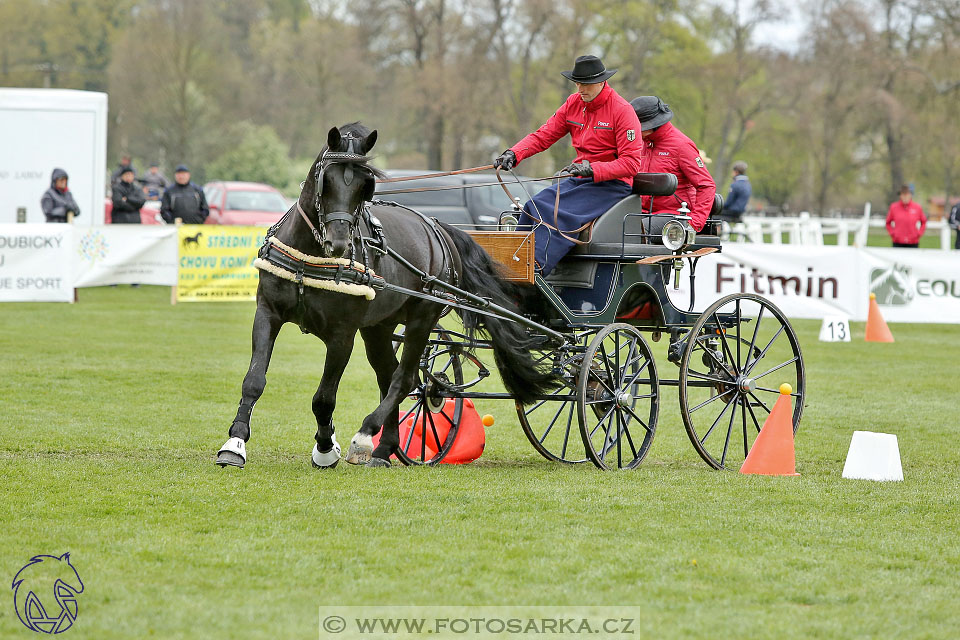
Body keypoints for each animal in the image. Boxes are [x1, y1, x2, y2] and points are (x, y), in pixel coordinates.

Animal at [214, 122, 552, 468]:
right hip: (379, 327)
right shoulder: (268, 313)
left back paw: (366, 435)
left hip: (421, 320)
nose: (339, 244)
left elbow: (324, 398)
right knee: (390, 376)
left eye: (365, 186)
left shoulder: (342, 334)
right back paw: (384, 448)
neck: (311, 257)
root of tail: (438, 227)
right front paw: (235, 443)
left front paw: (326, 447)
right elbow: (254, 380)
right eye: (326, 180)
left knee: (404, 379)